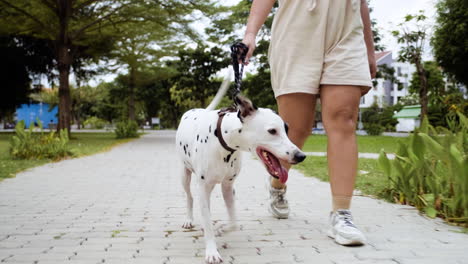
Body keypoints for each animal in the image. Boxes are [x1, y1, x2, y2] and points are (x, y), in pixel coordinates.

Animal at [176, 76, 308, 262]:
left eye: (286, 129)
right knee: (189, 197)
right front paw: (212, 251)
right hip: (185, 176)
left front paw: (221, 229)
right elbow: (207, 220)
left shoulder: (228, 187)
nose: (300, 155)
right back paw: (189, 219)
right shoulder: (202, 186)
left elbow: (234, 223)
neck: (222, 137)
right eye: (272, 131)